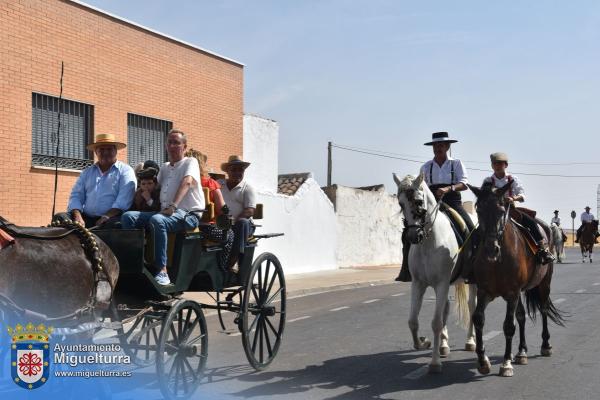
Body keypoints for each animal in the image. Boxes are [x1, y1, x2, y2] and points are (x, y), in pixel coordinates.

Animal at [394, 173, 478, 374]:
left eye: (418, 201)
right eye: (400, 203)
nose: (412, 237)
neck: (429, 241)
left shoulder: (441, 283)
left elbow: (436, 322)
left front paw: (434, 363)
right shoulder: (419, 284)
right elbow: (413, 321)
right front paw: (423, 342)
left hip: (472, 281)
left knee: (472, 306)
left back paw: (471, 342)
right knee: (446, 308)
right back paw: (444, 346)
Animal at [472, 184, 564, 378]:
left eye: (501, 211)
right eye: (479, 210)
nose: (491, 249)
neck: (497, 260)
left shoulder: (512, 293)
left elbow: (508, 325)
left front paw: (506, 363)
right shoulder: (485, 292)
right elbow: (478, 319)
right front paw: (483, 361)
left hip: (544, 283)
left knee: (543, 309)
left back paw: (546, 345)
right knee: (521, 316)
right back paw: (522, 351)